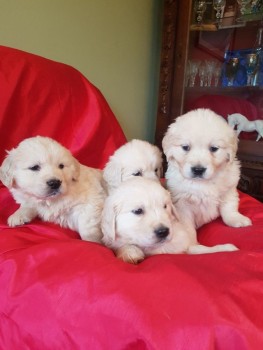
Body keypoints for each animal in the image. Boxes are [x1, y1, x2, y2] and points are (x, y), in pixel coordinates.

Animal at [101, 178, 239, 262]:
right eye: (138, 211)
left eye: (165, 206)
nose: (163, 231)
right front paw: (131, 253)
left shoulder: (184, 244)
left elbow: (199, 250)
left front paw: (227, 248)